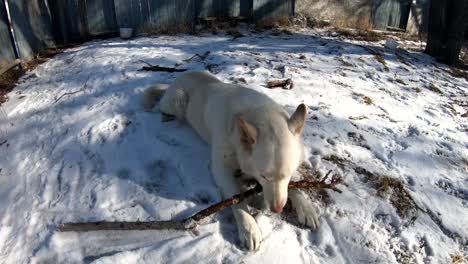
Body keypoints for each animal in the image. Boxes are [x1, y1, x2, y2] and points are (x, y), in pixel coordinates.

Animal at [143, 71, 318, 251]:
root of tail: (179, 78)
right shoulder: (221, 170)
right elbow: (237, 200)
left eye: (287, 175)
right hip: (177, 101)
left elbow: (296, 184)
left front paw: (305, 207)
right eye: (264, 177)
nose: (277, 209)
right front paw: (249, 228)